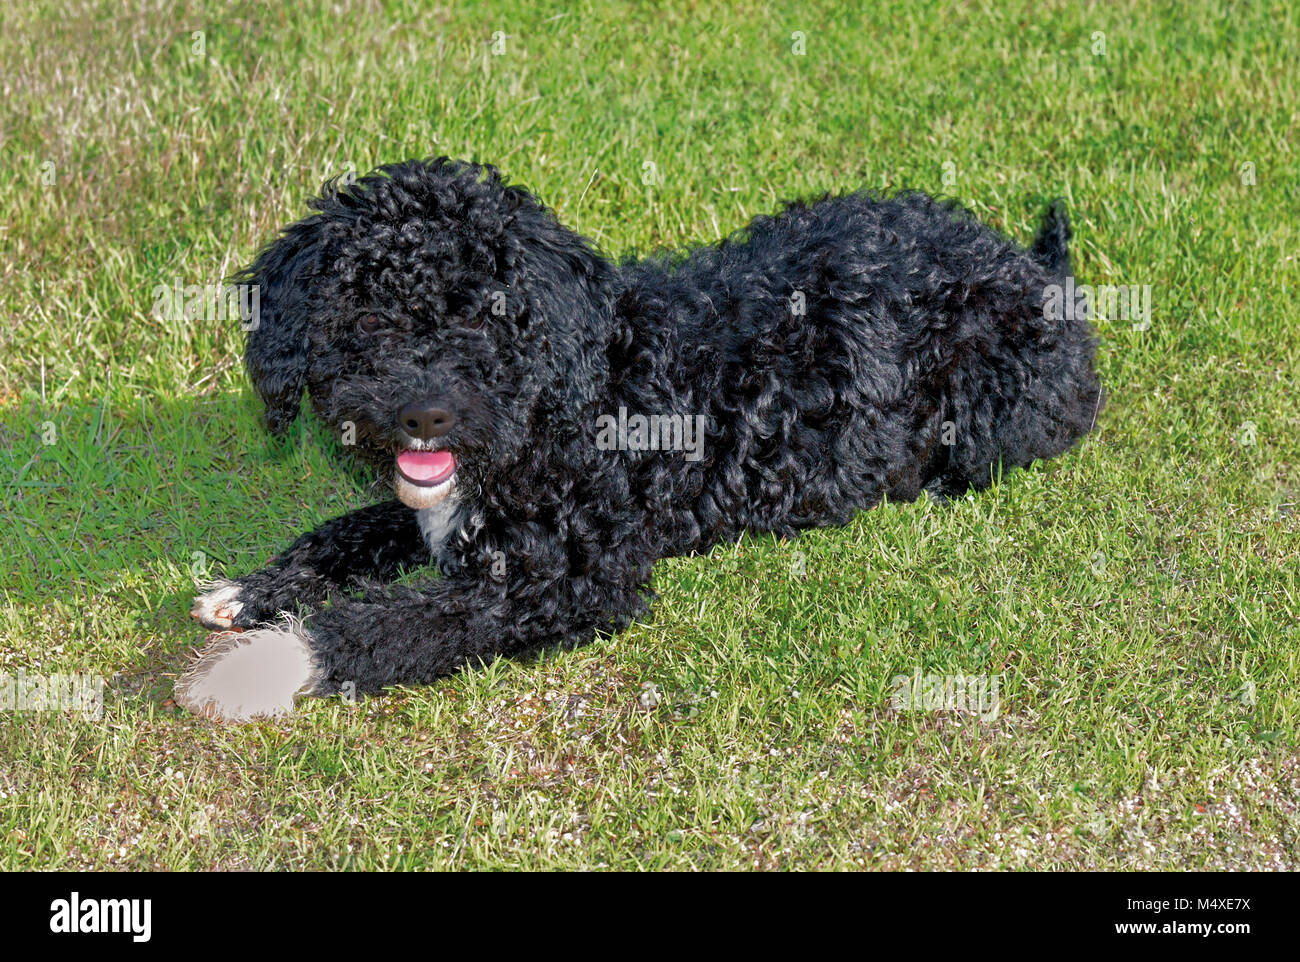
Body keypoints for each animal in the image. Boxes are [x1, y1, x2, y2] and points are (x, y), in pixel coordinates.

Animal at [178, 157, 1102, 717]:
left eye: (488, 314)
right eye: (367, 315)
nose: (427, 416)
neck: (574, 390)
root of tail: (1036, 267)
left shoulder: (568, 582)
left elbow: (383, 627)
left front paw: (253, 669)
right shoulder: (439, 512)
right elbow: (349, 531)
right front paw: (253, 591)